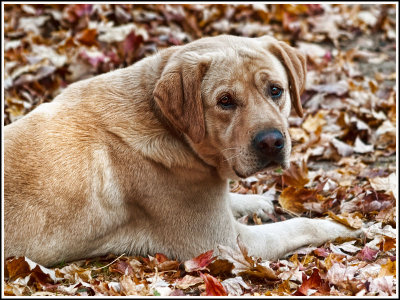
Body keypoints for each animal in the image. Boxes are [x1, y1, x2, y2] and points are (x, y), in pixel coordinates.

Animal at [3, 34, 360, 266]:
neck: (169, 128)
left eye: (276, 90)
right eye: (225, 101)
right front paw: (345, 227)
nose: (272, 142)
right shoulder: (227, 243)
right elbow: (303, 225)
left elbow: (232, 199)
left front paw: (253, 201)